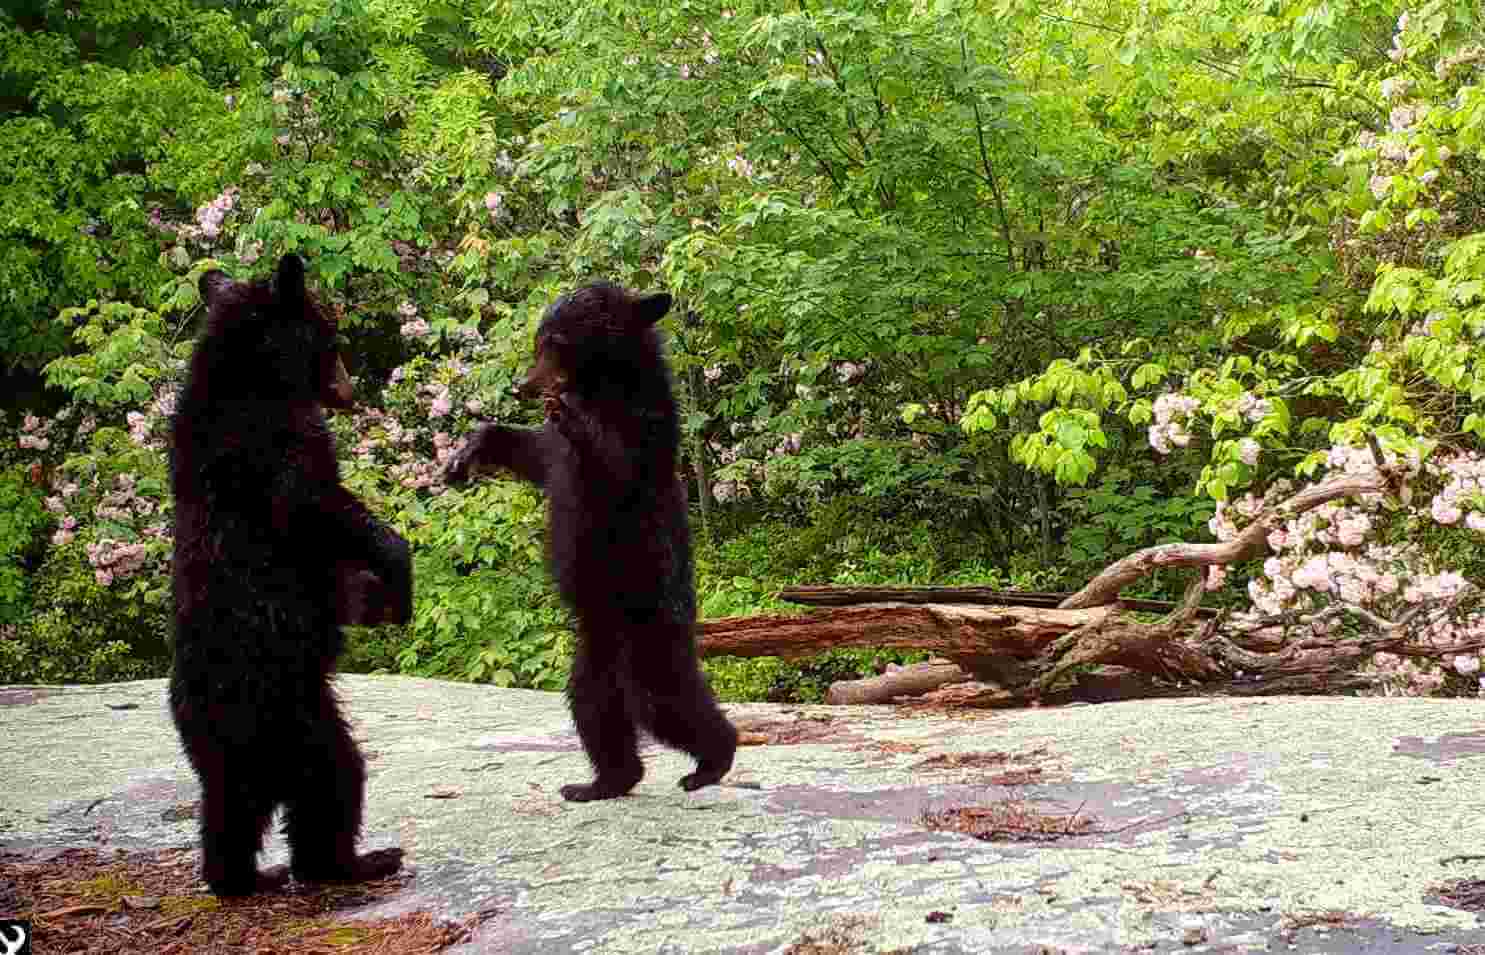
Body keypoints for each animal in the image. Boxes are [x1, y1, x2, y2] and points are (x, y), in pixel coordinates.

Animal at [169, 253, 411, 896]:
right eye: (334, 341)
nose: (348, 390)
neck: (253, 375)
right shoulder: (267, 442)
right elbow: (318, 507)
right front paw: (396, 575)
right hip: (296, 716)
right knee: (333, 780)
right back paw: (353, 861)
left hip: (222, 755)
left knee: (226, 814)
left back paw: (241, 876)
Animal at [445, 282, 738, 802]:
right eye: (539, 340)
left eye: (557, 342)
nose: (524, 386)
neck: (603, 382)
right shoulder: (557, 457)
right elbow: (539, 453)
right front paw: (469, 450)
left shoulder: (642, 426)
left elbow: (615, 462)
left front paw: (570, 414)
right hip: (597, 637)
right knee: (593, 701)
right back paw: (602, 780)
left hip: (648, 607)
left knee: (660, 696)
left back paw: (712, 761)